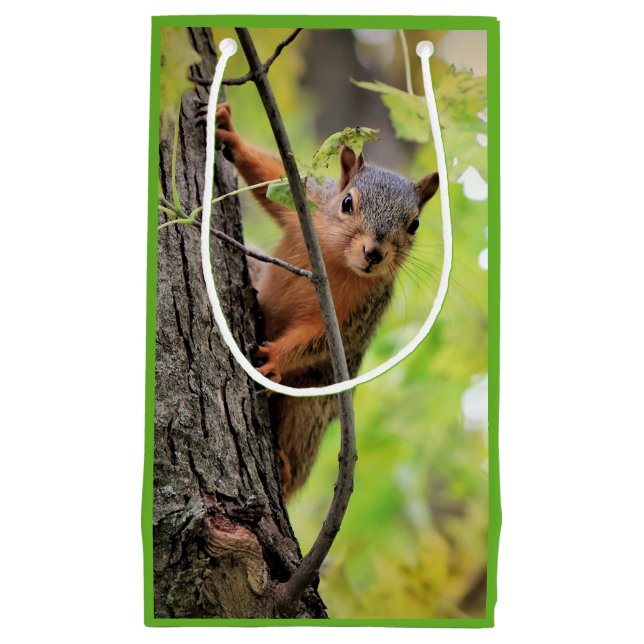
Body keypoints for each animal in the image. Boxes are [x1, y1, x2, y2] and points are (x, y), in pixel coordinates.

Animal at [213, 102, 439, 499]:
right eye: (347, 202)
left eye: (414, 225)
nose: (374, 254)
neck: (336, 262)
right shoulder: (309, 206)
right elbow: (272, 181)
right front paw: (229, 132)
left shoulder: (357, 314)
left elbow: (319, 339)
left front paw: (276, 356)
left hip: (311, 405)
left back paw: (285, 466)